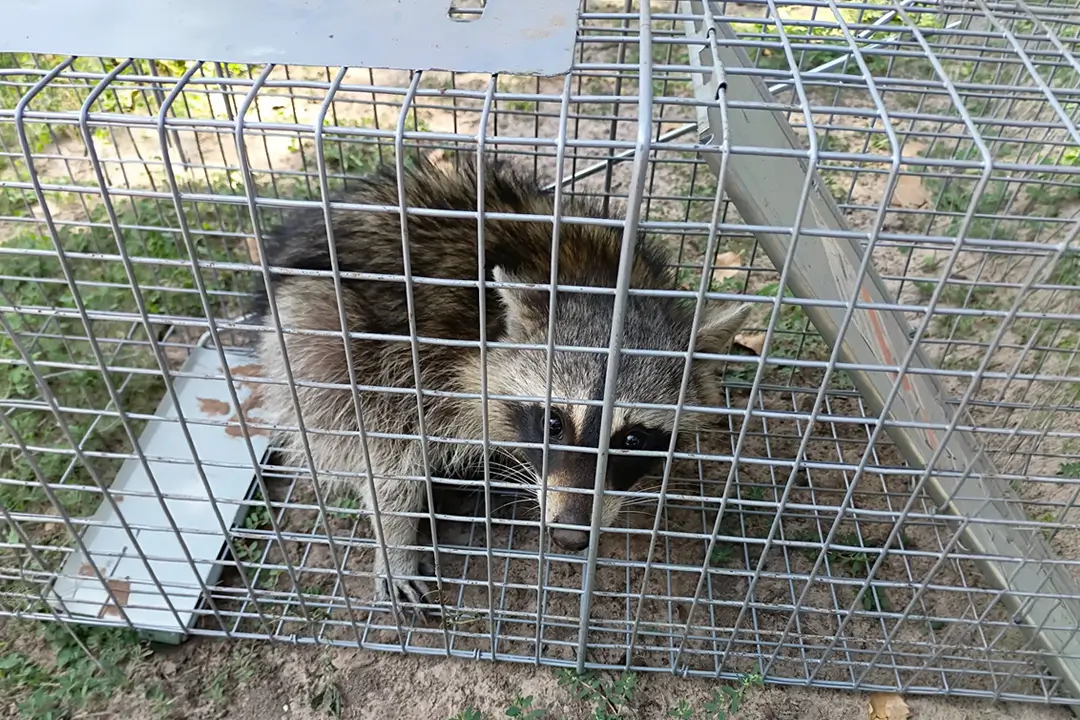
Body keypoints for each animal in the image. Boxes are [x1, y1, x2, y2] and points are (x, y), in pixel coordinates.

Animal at [253, 157, 751, 612]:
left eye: (632, 439)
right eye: (553, 423)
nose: (571, 535)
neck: (599, 282)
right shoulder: (423, 351)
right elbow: (387, 452)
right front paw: (395, 538)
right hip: (315, 316)